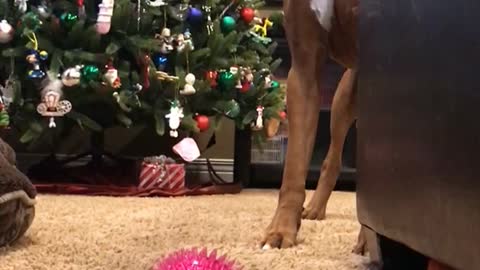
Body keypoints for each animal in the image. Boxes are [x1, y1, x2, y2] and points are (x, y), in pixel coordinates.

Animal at [260, 0, 366, 252]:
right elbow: (294, 167)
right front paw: (281, 229)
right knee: (332, 160)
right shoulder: (303, 71)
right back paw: (316, 207)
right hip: (343, 99)